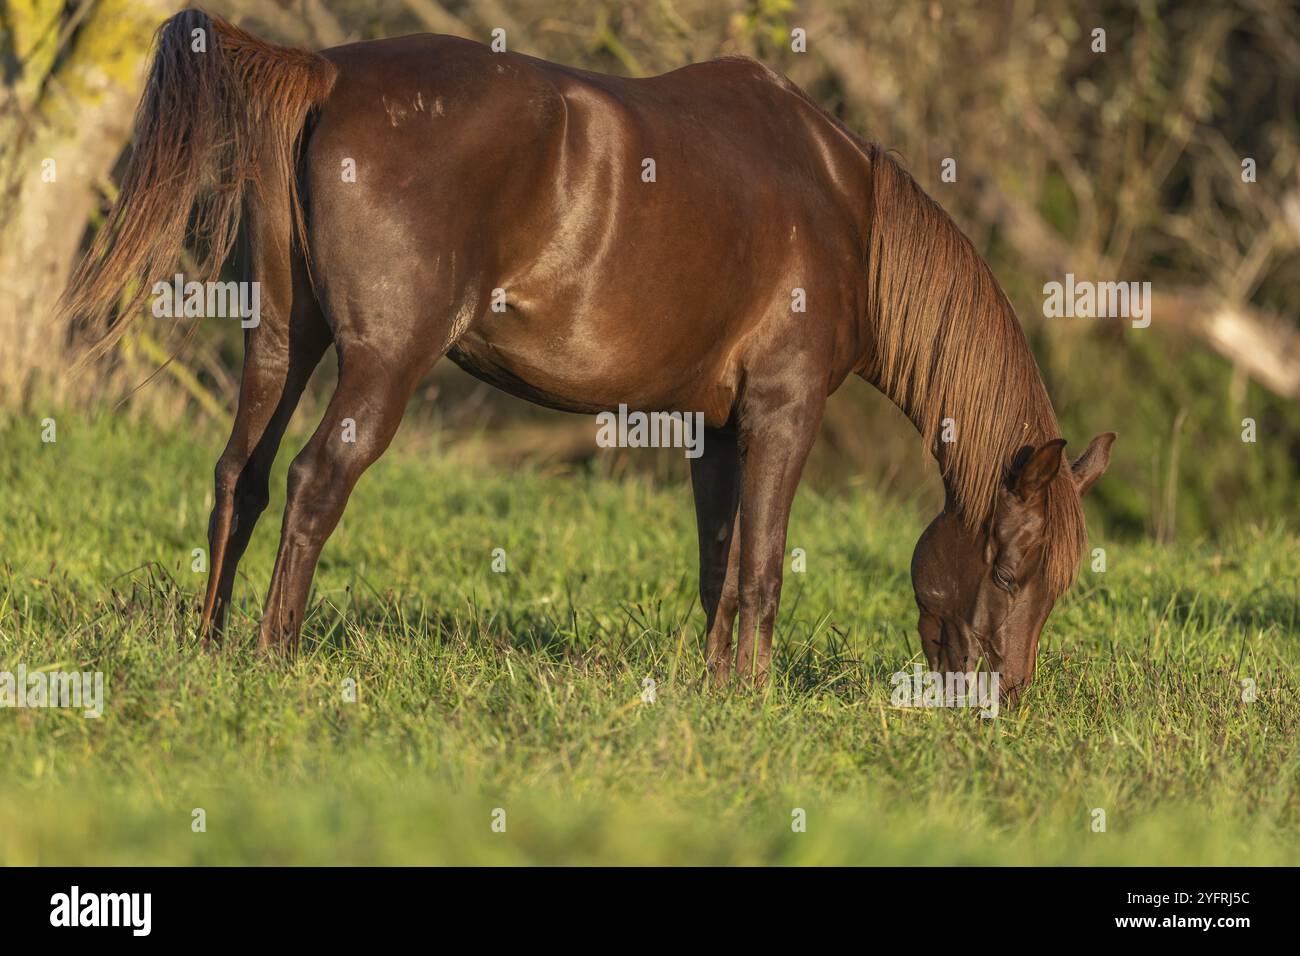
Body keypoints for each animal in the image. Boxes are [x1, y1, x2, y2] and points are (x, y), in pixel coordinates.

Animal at [63, 7, 1118, 697]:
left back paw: (211, 646)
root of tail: (328, 75)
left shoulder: (714, 426)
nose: (1003, 699)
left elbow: (719, 561)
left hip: (284, 342)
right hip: (383, 363)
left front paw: (714, 691)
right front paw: (754, 697)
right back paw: (275, 654)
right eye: (1012, 567)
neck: (844, 212)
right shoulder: (784, 410)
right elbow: (765, 565)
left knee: (239, 476)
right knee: (316, 480)